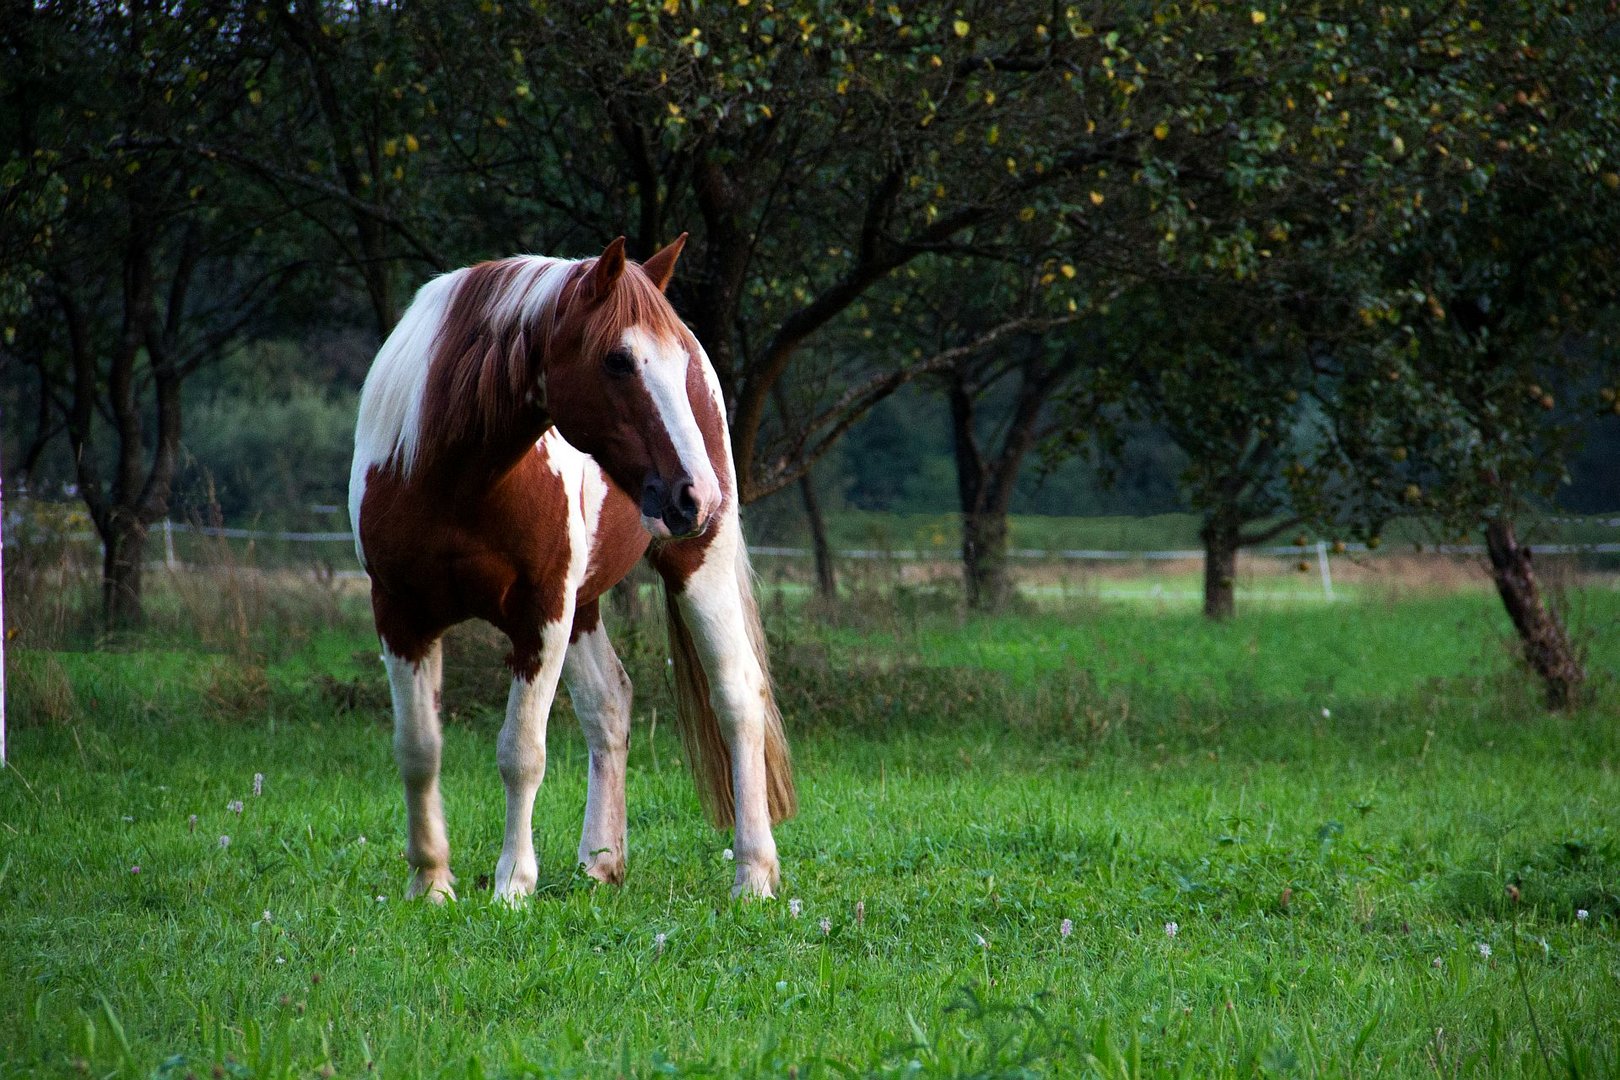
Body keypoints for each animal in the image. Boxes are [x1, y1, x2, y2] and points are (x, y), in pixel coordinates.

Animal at [349, 238, 797, 906]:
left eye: (674, 363)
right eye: (618, 360)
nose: (697, 495)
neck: (453, 480)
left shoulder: (542, 612)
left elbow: (521, 752)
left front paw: (512, 885)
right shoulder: (401, 615)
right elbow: (418, 748)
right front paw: (430, 883)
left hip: (695, 566)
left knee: (737, 697)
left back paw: (754, 875)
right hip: (585, 605)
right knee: (610, 704)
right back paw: (600, 863)